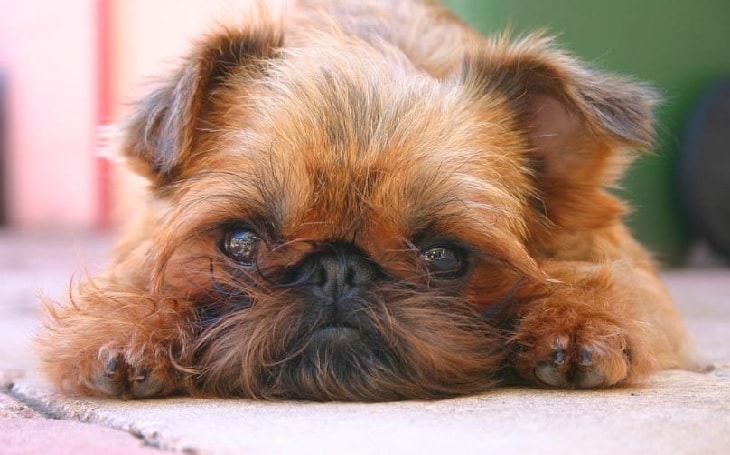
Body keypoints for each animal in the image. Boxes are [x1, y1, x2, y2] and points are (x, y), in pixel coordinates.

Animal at [35, 0, 692, 400]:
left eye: (443, 258)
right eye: (241, 243)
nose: (337, 269)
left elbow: (607, 287)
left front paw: (578, 324)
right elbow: (140, 282)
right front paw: (130, 327)